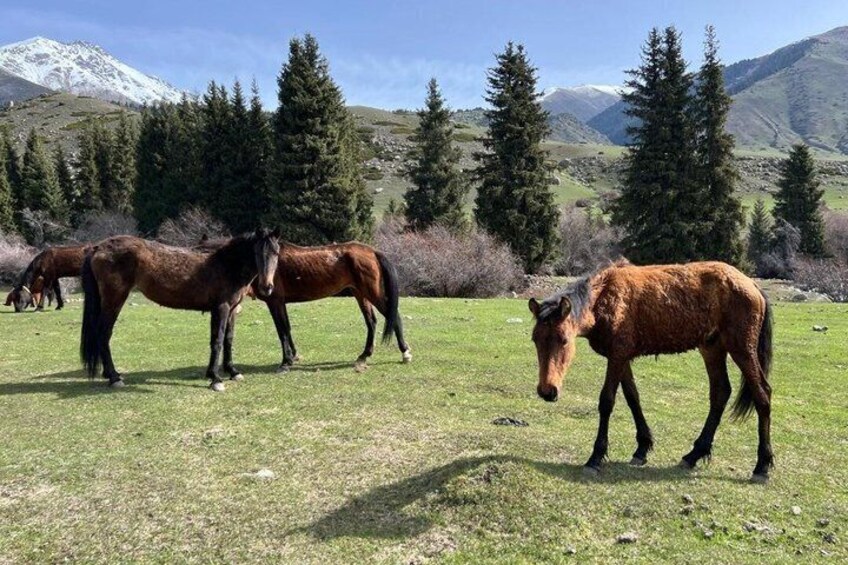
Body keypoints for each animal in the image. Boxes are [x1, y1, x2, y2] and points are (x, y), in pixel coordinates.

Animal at [80, 228, 281, 391]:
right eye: (257, 252)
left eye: (276, 253)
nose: (267, 287)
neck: (227, 263)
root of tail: (97, 247)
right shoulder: (221, 308)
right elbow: (217, 340)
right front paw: (215, 379)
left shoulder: (231, 310)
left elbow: (227, 340)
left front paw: (231, 371)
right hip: (114, 300)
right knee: (103, 334)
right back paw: (114, 377)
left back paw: (110, 374)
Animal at [198, 238, 411, 371]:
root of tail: (372, 251)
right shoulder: (280, 303)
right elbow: (287, 329)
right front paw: (293, 356)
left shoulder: (275, 301)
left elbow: (282, 330)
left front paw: (286, 361)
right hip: (360, 294)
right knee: (371, 322)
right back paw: (365, 354)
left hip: (371, 292)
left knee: (394, 317)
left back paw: (405, 353)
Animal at [528, 260, 774, 482]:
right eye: (535, 340)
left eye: (564, 340)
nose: (547, 391)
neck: (605, 299)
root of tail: (751, 284)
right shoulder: (621, 358)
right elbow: (633, 398)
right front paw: (642, 448)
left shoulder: (617, 358)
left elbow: (607, 402)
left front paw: (596, 457)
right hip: (712, 348)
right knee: (720, 393)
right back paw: (694, 455)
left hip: (742, 350)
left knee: (762, 395)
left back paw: (762, 466)